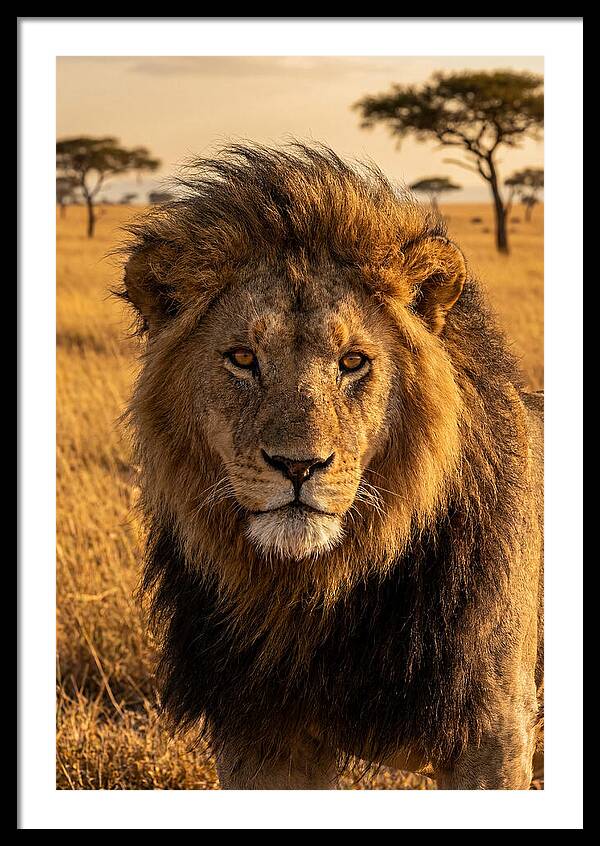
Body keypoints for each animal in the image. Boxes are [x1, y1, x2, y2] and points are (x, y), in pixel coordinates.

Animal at [119, 143, 544, 789]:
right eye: (242, 358)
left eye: (353, 361)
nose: (298, 466)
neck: (314, 593)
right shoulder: (260, 736)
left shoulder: (493, 732)